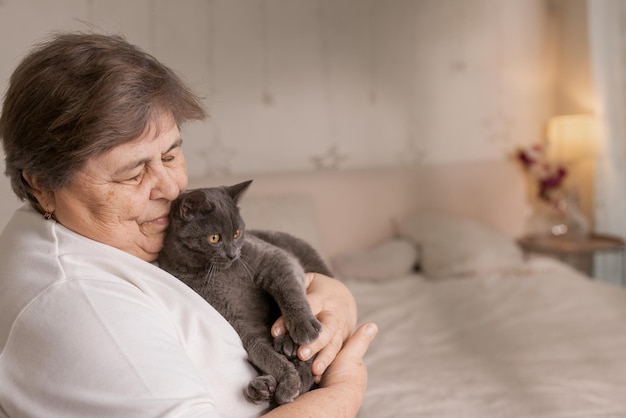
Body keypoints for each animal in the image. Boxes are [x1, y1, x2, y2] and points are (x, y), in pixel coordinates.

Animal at [157, 181, 332, 406]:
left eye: (237, 233)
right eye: (214, 238)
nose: (232, 254)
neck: (220, 273)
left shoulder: (275, 258)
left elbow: (289, 291)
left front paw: (303, 328)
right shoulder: (235, 317)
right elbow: (259, 349)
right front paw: (288, 378)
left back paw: (288, 346)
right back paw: (263, 386)